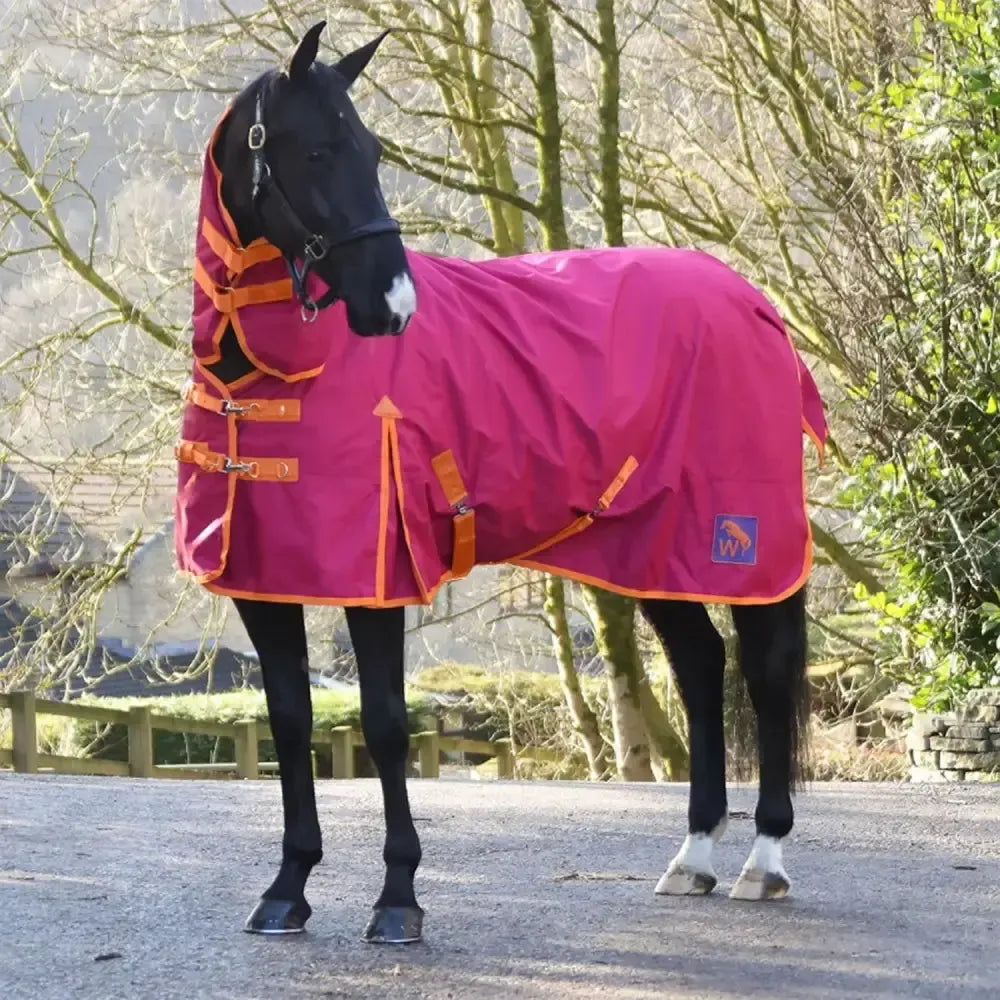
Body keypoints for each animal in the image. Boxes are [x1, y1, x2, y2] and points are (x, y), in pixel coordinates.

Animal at [174, 22, 825, 944]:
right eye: (315, 150)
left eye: (371, 151)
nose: (394, 306)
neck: (278, 375)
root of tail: (756, 304)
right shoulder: (265, 582)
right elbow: (291, 722)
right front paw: (287, 889)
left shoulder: (376, 578)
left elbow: (384, 726)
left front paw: (398, 901)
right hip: (654, 552)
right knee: (700, 667)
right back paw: (693, 856)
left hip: (740, 545)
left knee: (763, 675)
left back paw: (761, 862)